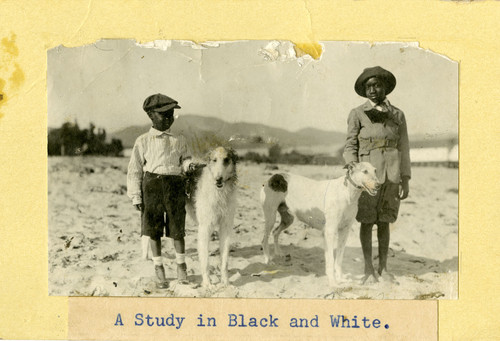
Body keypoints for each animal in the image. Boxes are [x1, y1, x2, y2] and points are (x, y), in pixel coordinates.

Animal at [185, 146, 239, 286]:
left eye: (226, 160)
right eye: (214, 160)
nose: (218, 179)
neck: (219, 193)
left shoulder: (226, 226)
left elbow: (224, 260)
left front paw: (225, 282)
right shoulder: (205, 227)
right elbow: (205, 261)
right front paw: (208, 284)